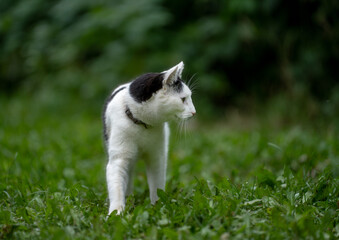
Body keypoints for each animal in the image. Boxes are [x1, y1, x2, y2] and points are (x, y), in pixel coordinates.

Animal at [103, 61, 197, 214]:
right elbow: (117, 186)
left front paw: (158, 207)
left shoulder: (157, 157)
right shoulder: (119, 158)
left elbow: (156, 186)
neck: (142, 125)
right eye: (183, 99)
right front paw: (116, 212)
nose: (194, 112)